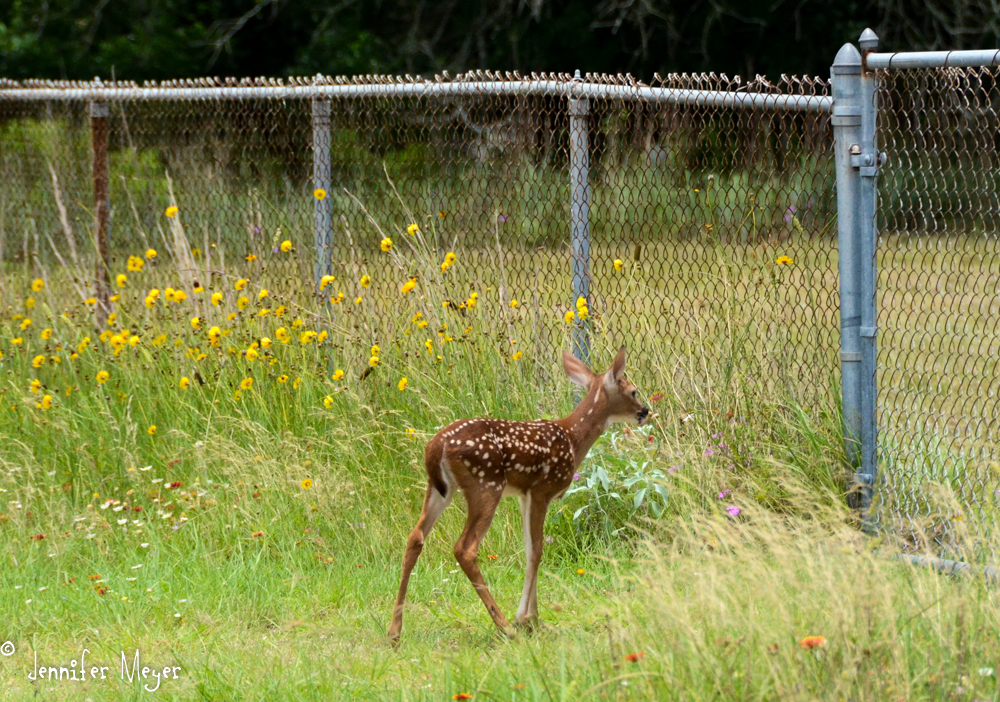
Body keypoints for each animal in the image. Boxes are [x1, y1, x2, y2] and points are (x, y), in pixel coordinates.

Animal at [388, 347, 649, 642]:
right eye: (633, 391)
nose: (645, 411)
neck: (572, 439)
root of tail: (437, 444)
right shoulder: (542, 488)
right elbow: (536, 550)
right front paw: (526, 618)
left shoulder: (524, 494)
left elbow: (528, 549)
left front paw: (533, 619)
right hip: (486, 484)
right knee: (464, 548)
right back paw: (504, 626)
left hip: (440, 488)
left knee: (415, 537)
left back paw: (394, 630)